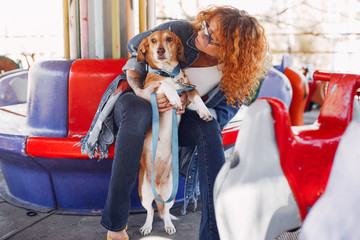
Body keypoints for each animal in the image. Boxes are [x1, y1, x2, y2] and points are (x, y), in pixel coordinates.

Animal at [136, 29, 212, 234]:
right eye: (153, 40)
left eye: (169, 39)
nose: (160, 51)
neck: (168, 73)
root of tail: (157, 185)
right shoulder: (152, 90)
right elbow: (164, 86)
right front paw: (174, 98)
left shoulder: (189, 88)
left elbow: (196, 97)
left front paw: (205, 112)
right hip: (144, 193)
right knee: (151, 212)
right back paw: (146, 227)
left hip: (170, 192)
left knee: (165, 212)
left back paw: (169, 226)